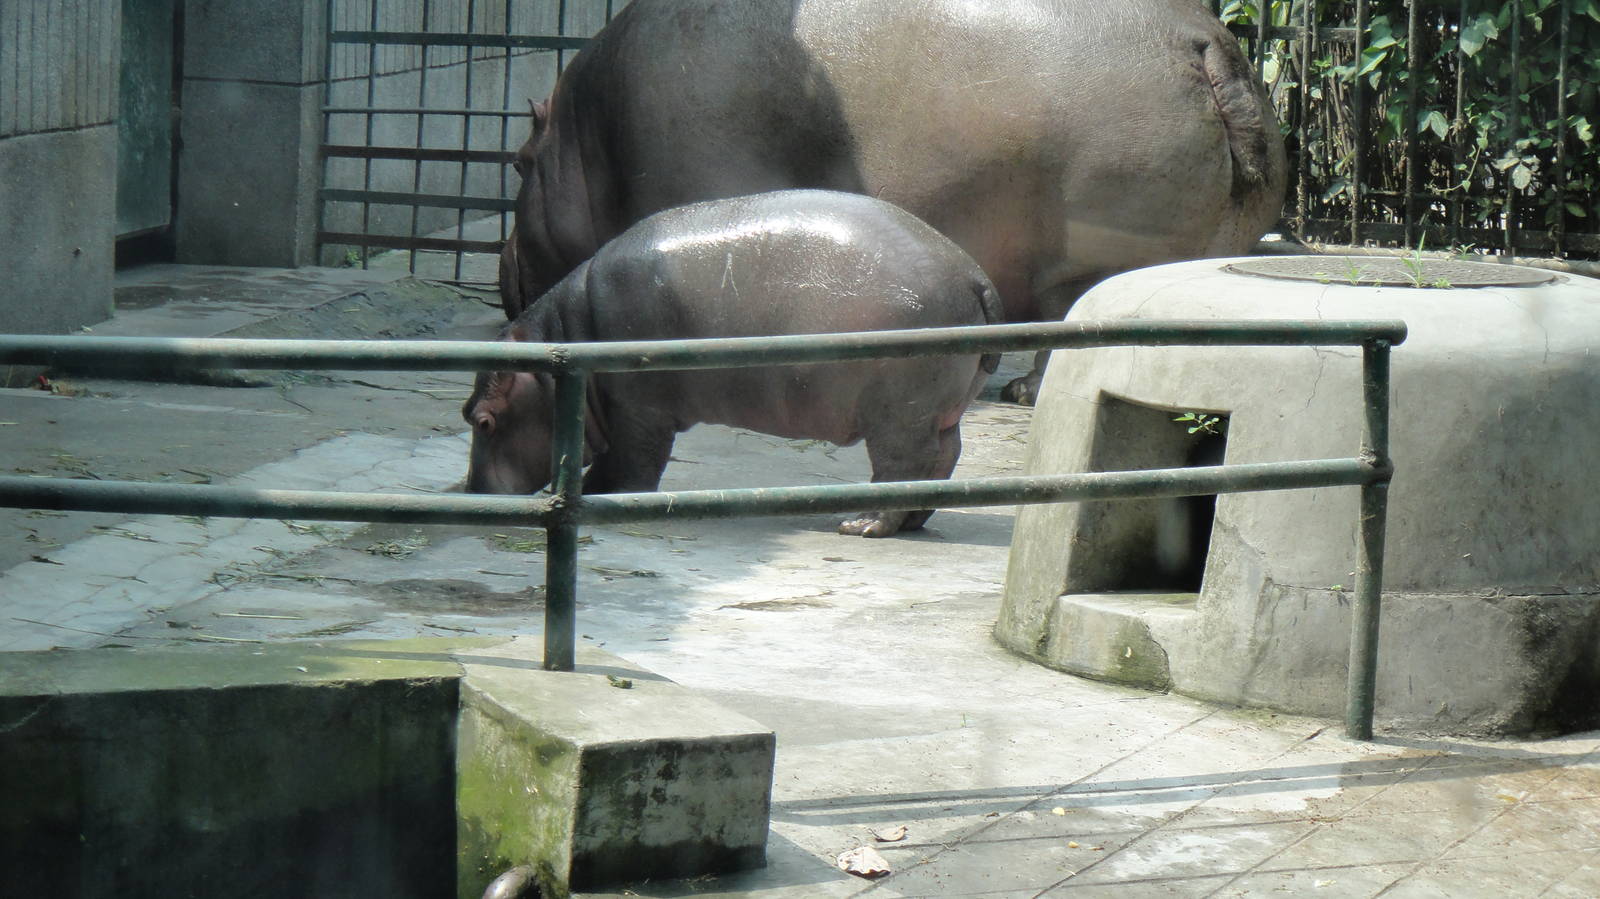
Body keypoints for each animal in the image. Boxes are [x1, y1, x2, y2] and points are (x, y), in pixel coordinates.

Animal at [465, 190, 1002, 538]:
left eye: (482, 420)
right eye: (468, 413)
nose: (470, 492)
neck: (568, 339)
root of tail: (974, 276)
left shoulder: (638, 410)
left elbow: (633, 461)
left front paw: (608, 497)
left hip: (897, 415)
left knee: (904, 465)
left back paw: (862, 525)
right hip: (939, 411)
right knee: (945, 457)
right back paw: (912, 521)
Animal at [499, 0, 1287, 403]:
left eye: (516, 160)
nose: (504, 276)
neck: (582, 137)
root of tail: (1206, 43)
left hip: (1092, 258)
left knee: (1072, 324)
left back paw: (1023, 393)